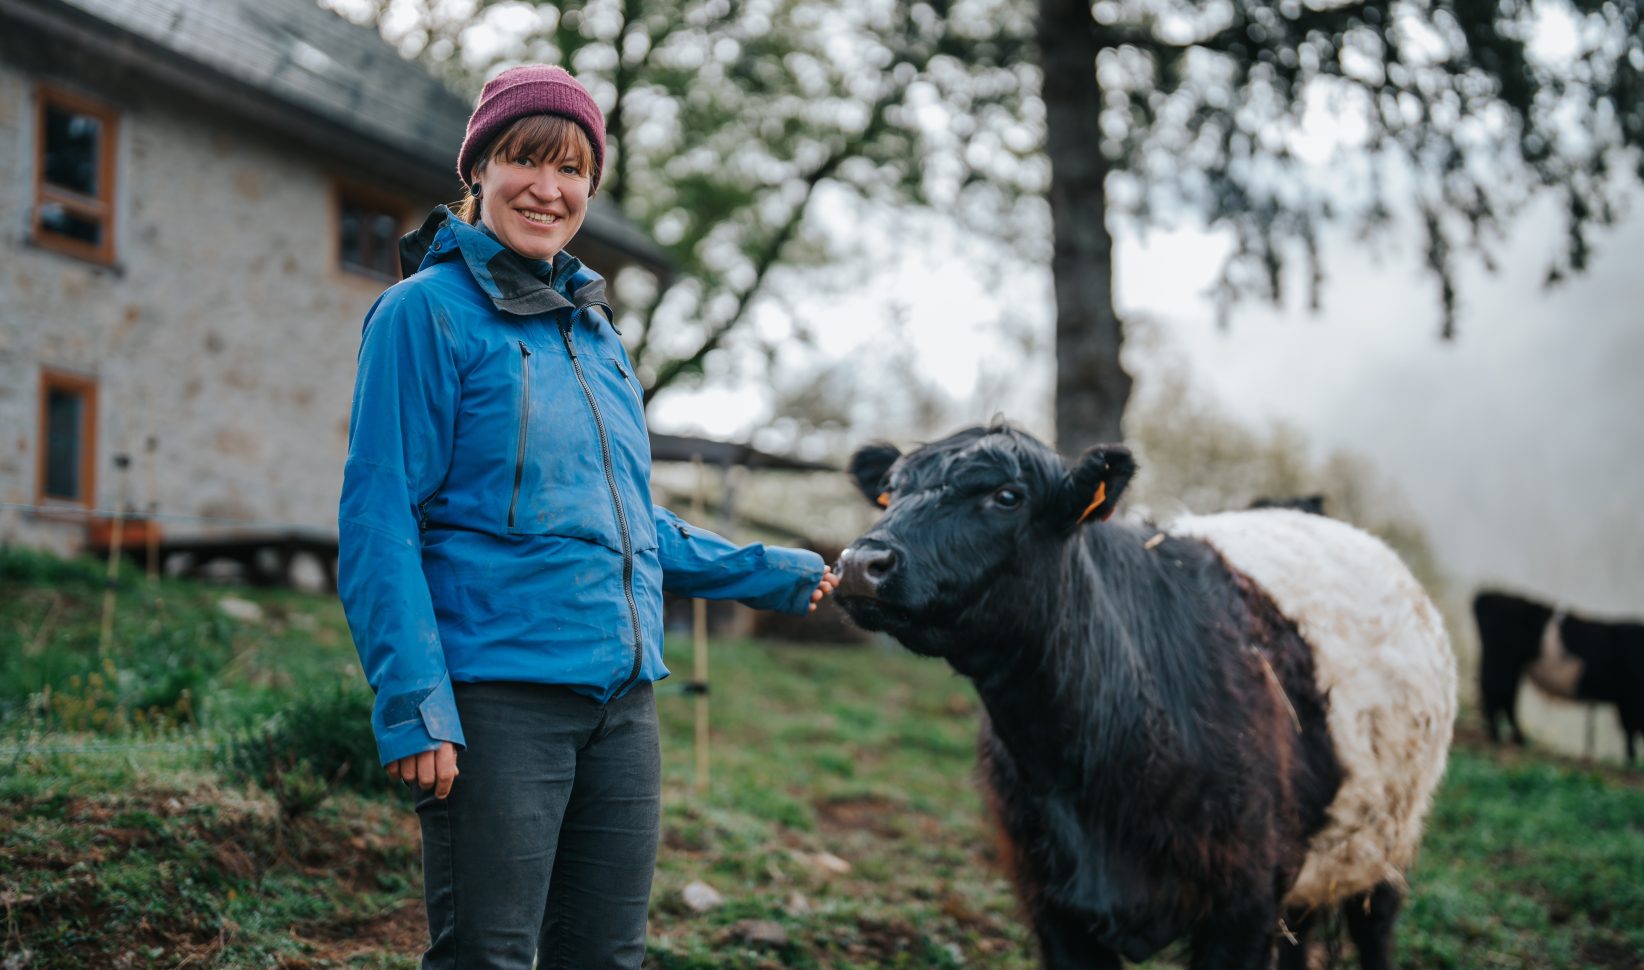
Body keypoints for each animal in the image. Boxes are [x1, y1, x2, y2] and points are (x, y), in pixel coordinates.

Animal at [835, 430, 1453, 970]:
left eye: (1007, 496)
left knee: (1376, 927)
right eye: (889, 491)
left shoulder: (1246, 906)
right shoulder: (1053, 907)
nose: (860, 564)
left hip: (1387, 843)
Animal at [1479, 588, 1644, 762]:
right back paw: (1500, 737)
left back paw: (1514, 738)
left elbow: (1630, 731)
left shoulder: (1627, 701)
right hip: (1502, 665)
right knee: (1497, 694)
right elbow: (1630, 731)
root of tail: (1486, 597)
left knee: (1505, 698)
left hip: (1507, 667)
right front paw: (1631, 760)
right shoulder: (1631, 700)